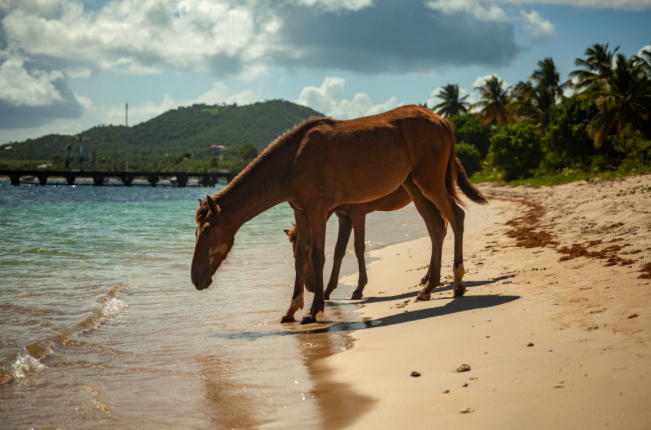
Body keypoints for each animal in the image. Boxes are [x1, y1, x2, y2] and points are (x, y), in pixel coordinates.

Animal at [192, 105, 487, 324]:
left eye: (207, 234)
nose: (196, 279)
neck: (294, 160)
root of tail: (442, 120)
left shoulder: (320, 209)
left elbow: (321, 254)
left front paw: (314, 308)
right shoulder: (302, 211)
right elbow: (302, 258)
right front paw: (292, 308)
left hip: (429, 183)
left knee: (456, 217)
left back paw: (457, 283)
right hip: (415, 186)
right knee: (436, 226)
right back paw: (428, 288)